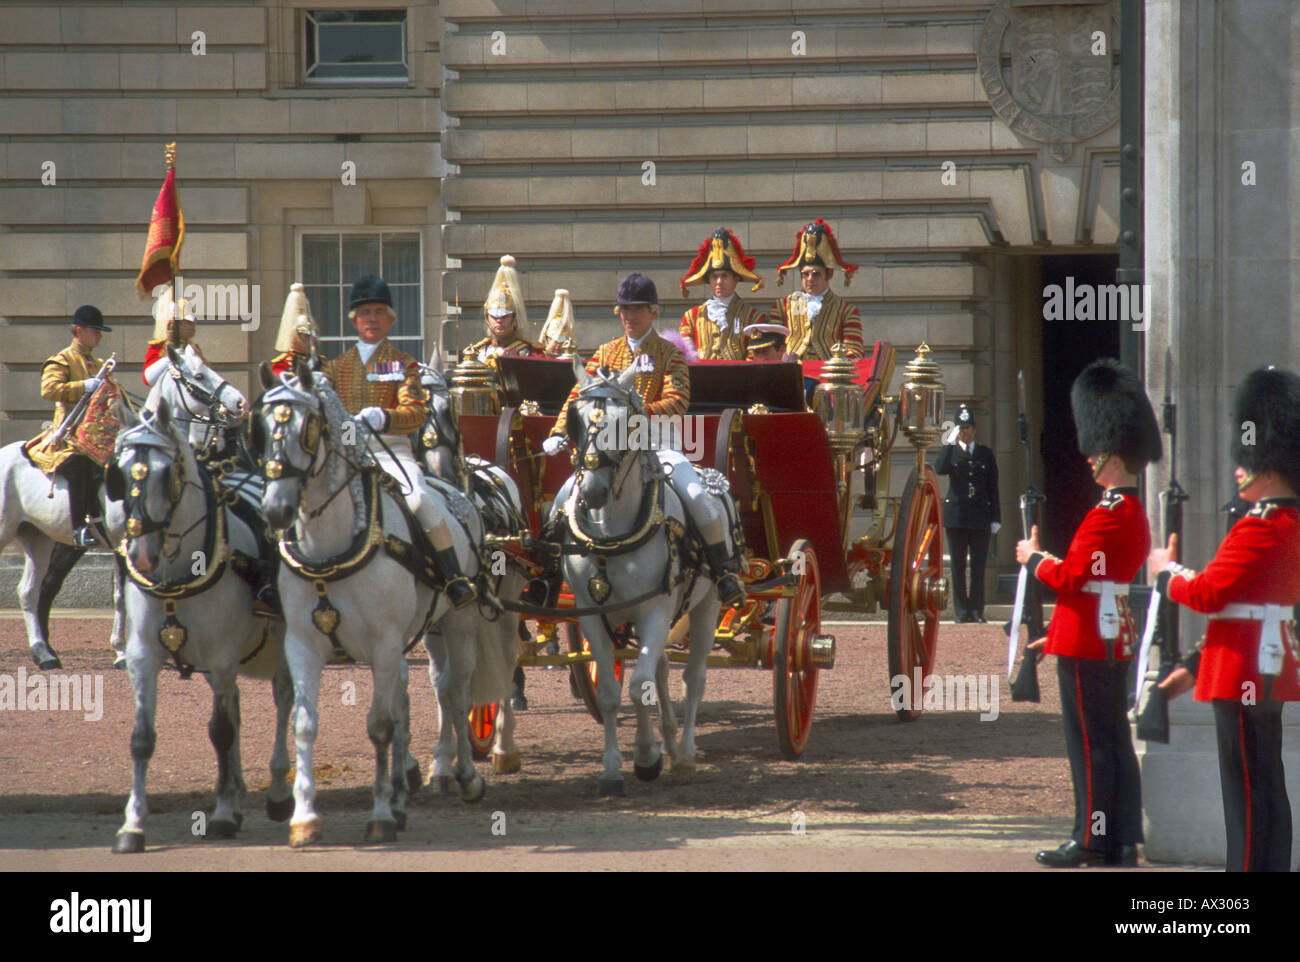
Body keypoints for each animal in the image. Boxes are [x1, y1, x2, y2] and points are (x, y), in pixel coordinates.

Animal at [107, 403, 292, 852]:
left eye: (166, 471)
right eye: (119, 473)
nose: (140, 553)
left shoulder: (222, 658)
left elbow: (221, 732)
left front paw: (222, 813)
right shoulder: (143, 656)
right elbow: (142, 738)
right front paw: (133, 824)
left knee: (283, 700)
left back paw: (277, 790)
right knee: (239, 708)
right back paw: (240, 795)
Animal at [256, 361, 509, 847]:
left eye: (308, 428)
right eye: (260, 425)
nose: (276, 510)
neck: (331, 546)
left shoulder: (385, 644)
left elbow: (379, 725)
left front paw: (379, 815)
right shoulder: (303, 644)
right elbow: (305, 722)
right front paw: (305, 817)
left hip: (459, 623)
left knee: (457, 691)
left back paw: (465, 776)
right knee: (418, 698)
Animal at [553, 361, 733, 795]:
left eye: (627, 423)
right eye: (577, 420)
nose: (593, 493)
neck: (611, 533)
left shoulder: (653, 611)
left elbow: (639, 687)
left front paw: (647, 758)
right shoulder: (592, 615)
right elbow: (611, 693)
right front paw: (613, 770)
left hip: (706, 607)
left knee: (693, 677)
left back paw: (683, 756)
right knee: (664, 671)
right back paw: (668, 741)